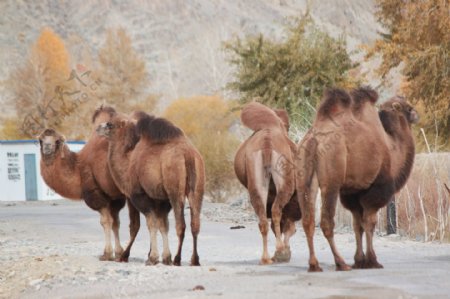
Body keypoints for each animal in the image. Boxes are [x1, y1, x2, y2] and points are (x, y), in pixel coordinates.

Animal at [39, 106, 140, 264]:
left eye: (57, 141)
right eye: (40, 140)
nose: (47, 147)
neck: (77, 169)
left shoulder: (95, 193)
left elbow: (105, 221)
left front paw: (107, 254)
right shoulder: (114, 197)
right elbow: (116, 222)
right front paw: (118, 252)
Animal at [98, 112, 206, 268]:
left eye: (110, 124)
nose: (98, 128)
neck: (127, 164)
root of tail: (188, 155)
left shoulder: (137, 195)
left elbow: (142, 225)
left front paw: (142, 257)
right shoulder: (161, 200)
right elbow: (163, 225)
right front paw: (164, 257)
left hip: (174, 188)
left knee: (181, 224)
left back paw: (178, 259)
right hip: (197, 186)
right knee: (195, 223)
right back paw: (194, 260)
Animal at [234, 102, 300, 264]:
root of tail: (267, 144)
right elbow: (287, 225)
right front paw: (285, 252)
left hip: (257, 183)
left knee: (263, 219)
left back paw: (265, 258)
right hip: (285, 183)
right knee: (276, 211)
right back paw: (280, 251)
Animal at [296, 88, 418, 274]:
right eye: (409, 107)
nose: (417, 115)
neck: (392, 148)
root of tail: (313, 140)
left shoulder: (352, 191)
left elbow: (357, 224)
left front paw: (359, 260)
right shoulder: (375, 188)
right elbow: (369, 222)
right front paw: (372, 261)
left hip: (304, 179)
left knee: (308, 221)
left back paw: (314, 265)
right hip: (331, 180)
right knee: (326, 222)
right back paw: (340, 263)